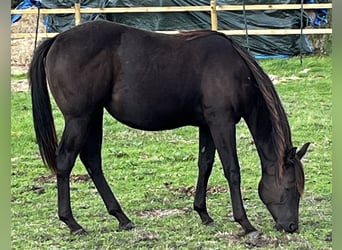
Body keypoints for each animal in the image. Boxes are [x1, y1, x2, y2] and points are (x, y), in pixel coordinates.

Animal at [28, 20, 310, 235]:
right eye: (289, 188)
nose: (291, 226)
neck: (237, 70)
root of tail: (57, 39)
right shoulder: (222, 122)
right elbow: (232, 170)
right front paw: (245, 223)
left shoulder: (207, 125)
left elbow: (205, 165)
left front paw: (203, 214)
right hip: (79, 118)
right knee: (65, 161)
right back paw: (73, 223)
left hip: (93, 116)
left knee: (92, 161)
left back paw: (121, 218)